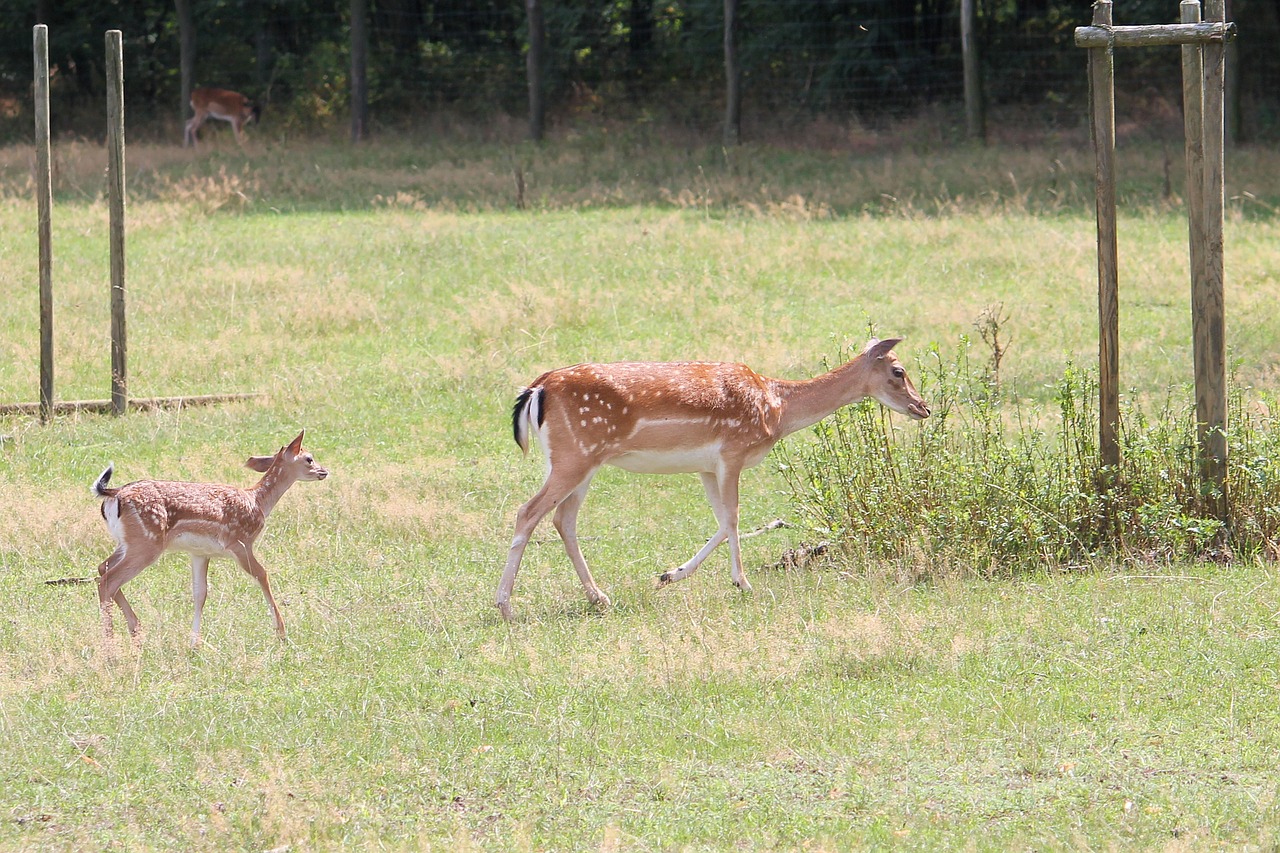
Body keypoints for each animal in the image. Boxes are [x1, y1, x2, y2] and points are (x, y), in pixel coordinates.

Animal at [92, 432, 327, 645]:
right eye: (309, 458)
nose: (324, 471)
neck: (258, 502)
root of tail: (113, 495)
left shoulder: (200, 553)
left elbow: (200, 594)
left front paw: (194, 644)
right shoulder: (240, 541)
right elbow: (262, 574)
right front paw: (281, 632)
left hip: (128, 543)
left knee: (102, 567)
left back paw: (136, 630)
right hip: (147, 543)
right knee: (109, 580)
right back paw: (110, 649)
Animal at [496, 333, 931, 617]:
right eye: (898, 370)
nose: (923, 407)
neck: (777, 409)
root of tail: (536, 388)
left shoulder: (707, 465)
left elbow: (722, 521)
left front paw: (669, 575)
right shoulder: (733, 452)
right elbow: (735, 518)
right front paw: (743, 582)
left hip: (578, 460)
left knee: (563, 519)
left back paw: (598, 597)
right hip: (575, 455)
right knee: (528, 512)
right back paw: (504, 605)